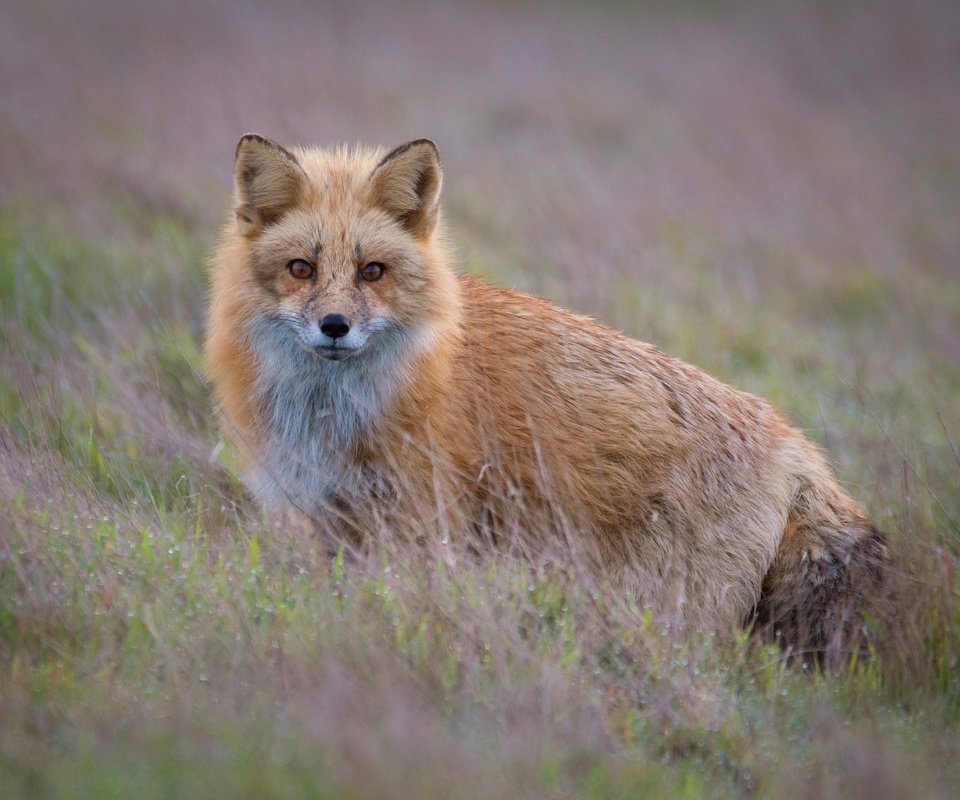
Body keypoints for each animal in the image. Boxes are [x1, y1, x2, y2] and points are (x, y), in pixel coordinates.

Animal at [206, 134, 888, 664]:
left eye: (372, 271)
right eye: (301, 268)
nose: (335, 326)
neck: (338, 412)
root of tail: (795, 444)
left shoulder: (420, 523)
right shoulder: (334, 517)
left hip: (666, 608)